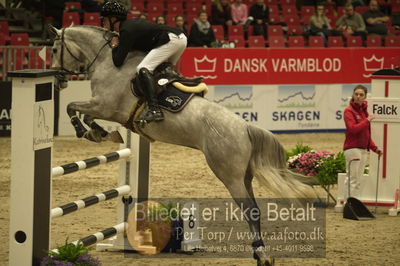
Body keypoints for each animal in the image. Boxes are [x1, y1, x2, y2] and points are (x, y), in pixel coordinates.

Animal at [48, 25, 314, 266]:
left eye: (54, 49)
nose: (57, 80)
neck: (108, 62)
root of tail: (245, 127)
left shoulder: (105, 106)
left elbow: (72, 107)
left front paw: (86, 131)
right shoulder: (104, 108)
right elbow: (86, 115)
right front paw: (101, 133)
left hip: (229, 175)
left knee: (250, 210)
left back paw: (261, 255)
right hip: (245, 176)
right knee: (254, 207)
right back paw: (260, 253)